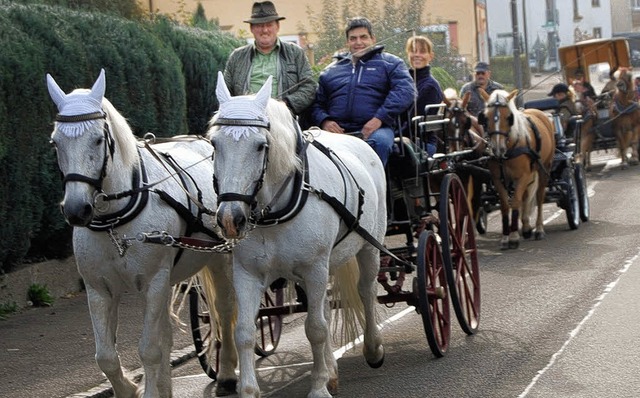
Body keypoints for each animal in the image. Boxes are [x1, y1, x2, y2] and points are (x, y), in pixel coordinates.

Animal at [47, 70, 238, 396]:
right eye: (56, 142)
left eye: (98, 139)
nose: (76, 210)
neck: (115, 222)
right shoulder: (99, 289)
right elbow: (106, 356)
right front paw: (127, 388)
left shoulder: (154, 283)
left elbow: (148, 349)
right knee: (168, 334)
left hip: (218, 259)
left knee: (224, 312)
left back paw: (226, 374)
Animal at [208, 72, 384, 398]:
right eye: (214, 143)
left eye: (261, 146)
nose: (230, 218)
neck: (275, 211)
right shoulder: (248, 273)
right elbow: (245, 333)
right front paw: (248, 390)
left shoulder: (314, 268)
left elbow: (315, 329)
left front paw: (318, 388)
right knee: (325, 307)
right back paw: (332, 370)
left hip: (368, 247)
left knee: (366, 290)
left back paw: (373, 348)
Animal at [478, 89, 556, 249]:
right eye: (485, 118)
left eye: (509, 117)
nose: (497, 149)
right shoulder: (499, 179)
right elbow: (505, 205)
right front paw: (505, 237)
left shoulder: (521, 176)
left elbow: (515, 202)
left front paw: (513, 237)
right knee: (526, 196)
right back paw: (526, 227)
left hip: (544, 168)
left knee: (539, 196)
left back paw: (539, 229)